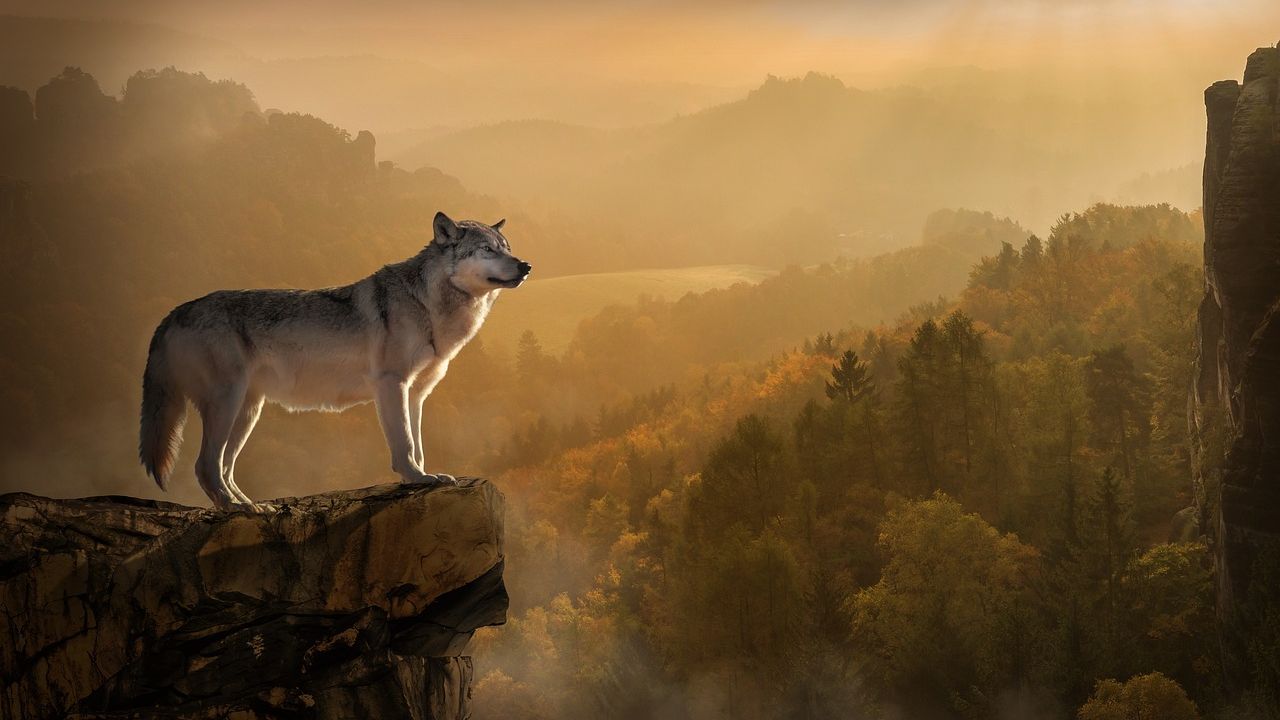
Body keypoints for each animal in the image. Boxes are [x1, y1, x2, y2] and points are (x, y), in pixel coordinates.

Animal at [138, 212, 530, 511]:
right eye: (487, 250)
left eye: (507, 248)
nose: (526, 265)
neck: (428, 304)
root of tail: (173, 313)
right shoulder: (391, 384)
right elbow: (404, 444)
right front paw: (416, 478)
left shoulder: (417, 394)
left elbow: (418, 444)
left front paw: (424, 476)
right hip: (228, 403)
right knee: (206, 466)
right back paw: (236, 509)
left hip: (248, 411)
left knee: (225, 467)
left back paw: (251, 506)